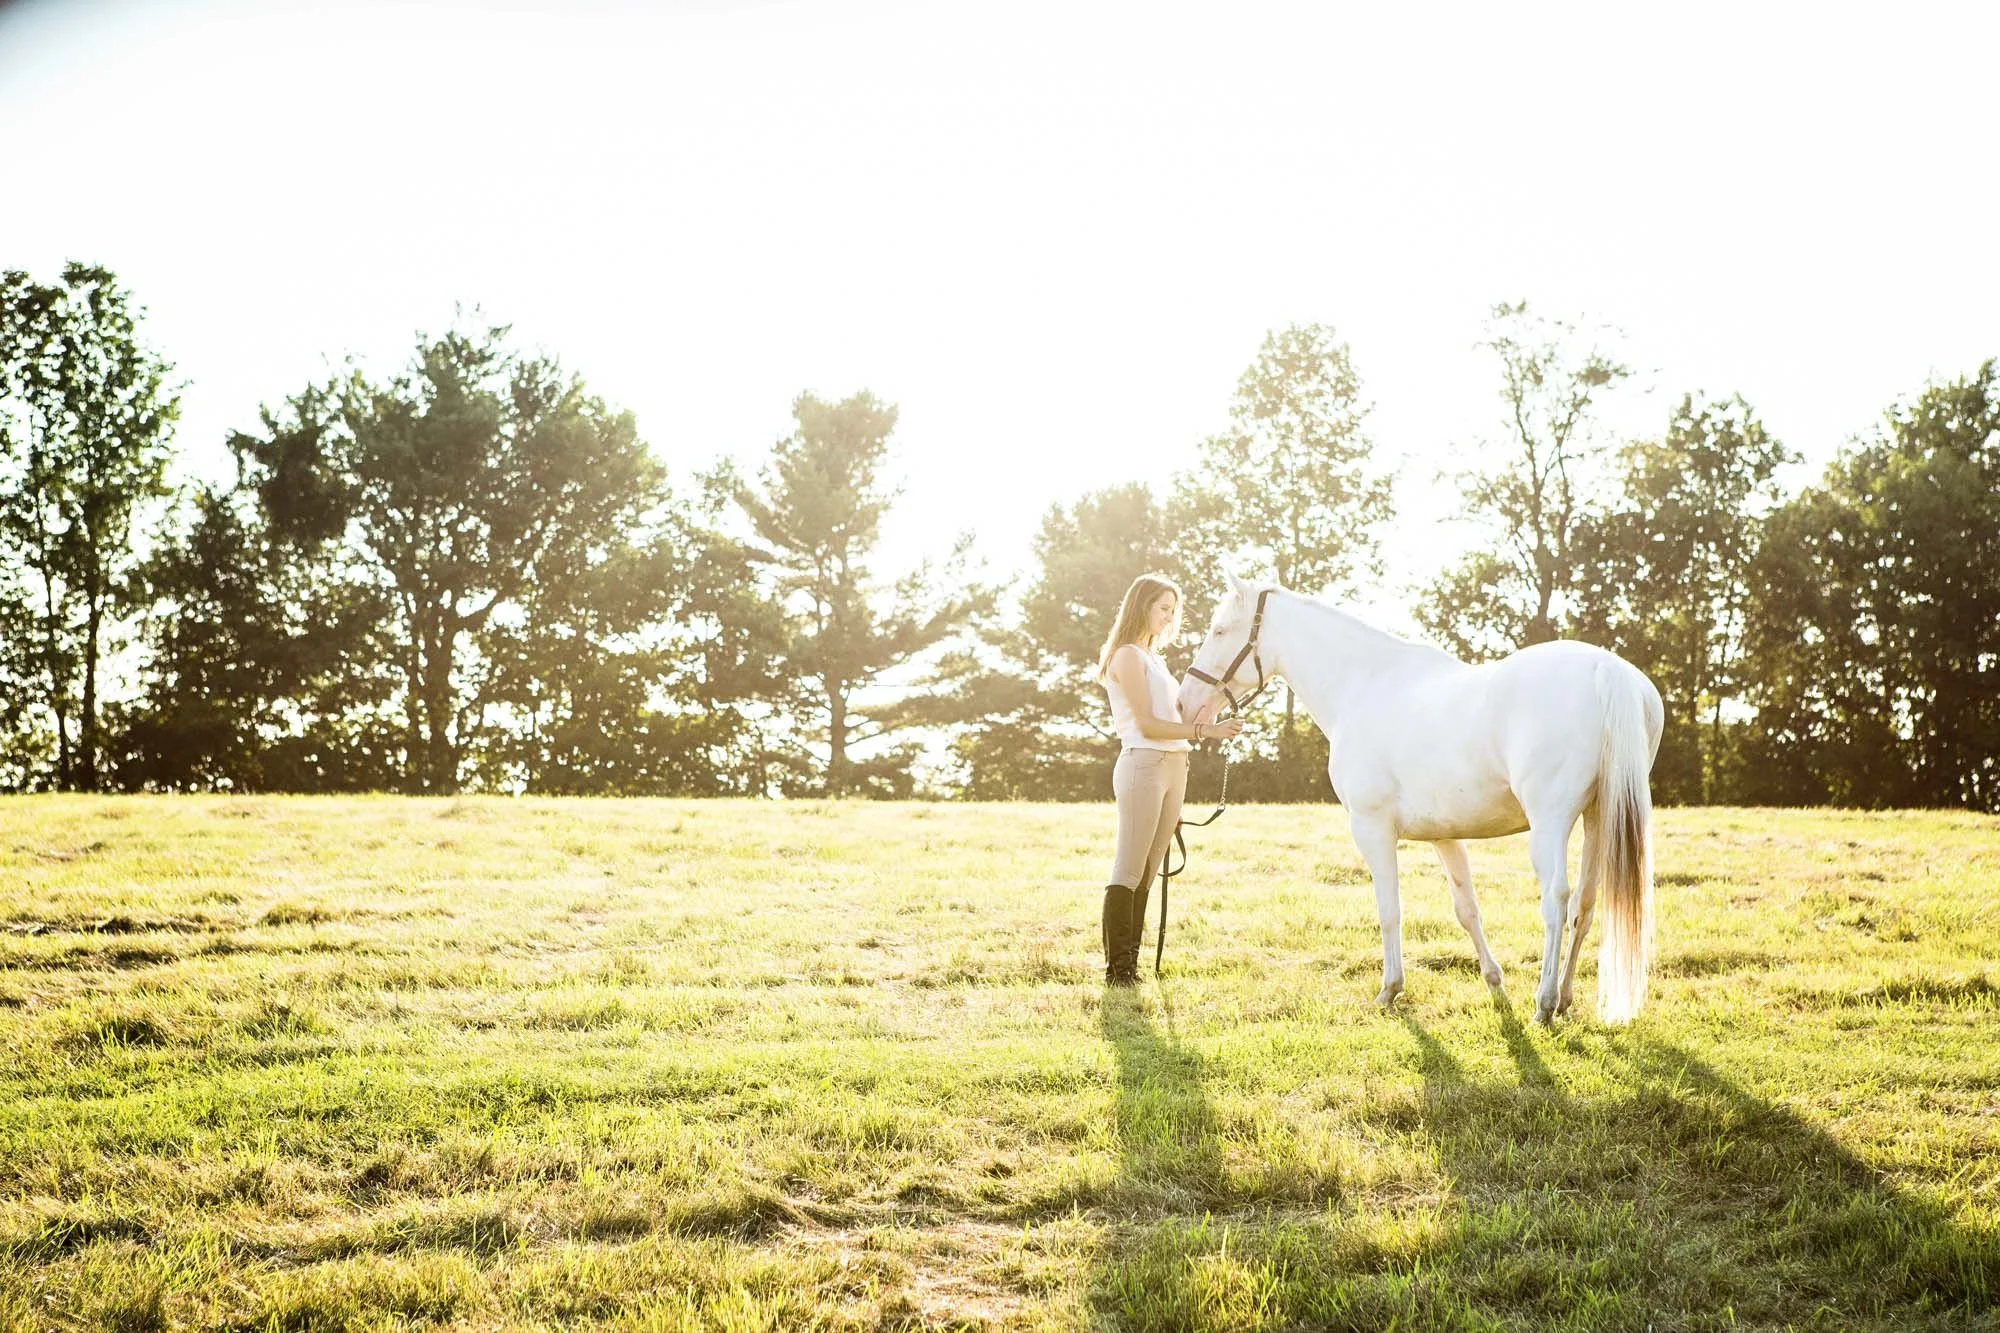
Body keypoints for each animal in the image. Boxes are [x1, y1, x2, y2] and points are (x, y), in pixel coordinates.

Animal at [1177, 573, 1664, 1025]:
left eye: (1219, 630)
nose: (1184, 704)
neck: (1364, 687)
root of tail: (1606, 669)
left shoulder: (1371, 828)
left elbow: (1389, 909)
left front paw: (1390, 990)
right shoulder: (1445, 836)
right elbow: (1467, 910)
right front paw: (1494, 983)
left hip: (1552, 822)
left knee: (1556, 900)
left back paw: (1543, 1005)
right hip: (1598, 816)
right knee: (1584, 903)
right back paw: (1562, 998)